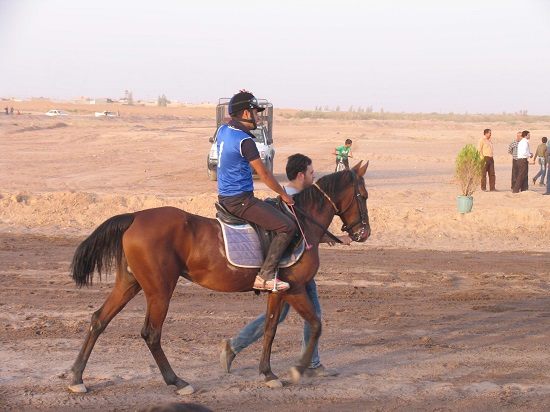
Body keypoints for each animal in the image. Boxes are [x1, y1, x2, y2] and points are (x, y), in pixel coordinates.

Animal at [68, 159, 370, 394]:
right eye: (364, 196)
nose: (363, 233)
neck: (303, 222)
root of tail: (135, 216)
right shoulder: (294, 288)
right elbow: (315, 325)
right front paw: (297, 369)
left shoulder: (278, 291)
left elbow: (270, 328)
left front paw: (267, 373)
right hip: (160, 289)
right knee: (151, 333)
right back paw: (176, 381)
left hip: (129, 283)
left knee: (99, 320)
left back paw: (76, 377)